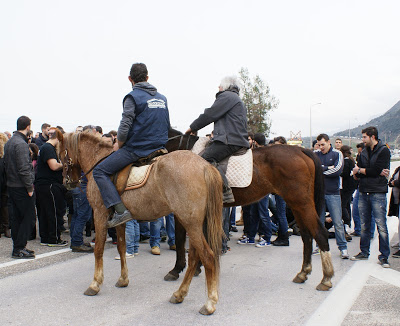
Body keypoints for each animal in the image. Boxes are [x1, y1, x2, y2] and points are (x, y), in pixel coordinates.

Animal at [59, 131, 223, 314]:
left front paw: (95, 284)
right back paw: (179, 293)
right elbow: (122, 247)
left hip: (190, 223)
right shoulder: (119, 222)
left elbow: (98, 250)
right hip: (192, 223)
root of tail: (205, 166)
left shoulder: (99, 215)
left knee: (207, 256)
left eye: (61, 154)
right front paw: (123, 279)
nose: (67, 183)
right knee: (194, 257)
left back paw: (209, 303)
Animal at [164, 129, 332, 292]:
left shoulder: (185, 210)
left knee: (320, 233)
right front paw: (197, 267)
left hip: (302, 203)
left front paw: (176, 269)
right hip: (296, 205)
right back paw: (303, 272)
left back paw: (326, 278)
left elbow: (180, 238)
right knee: (306, 235)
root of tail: (301, 151)